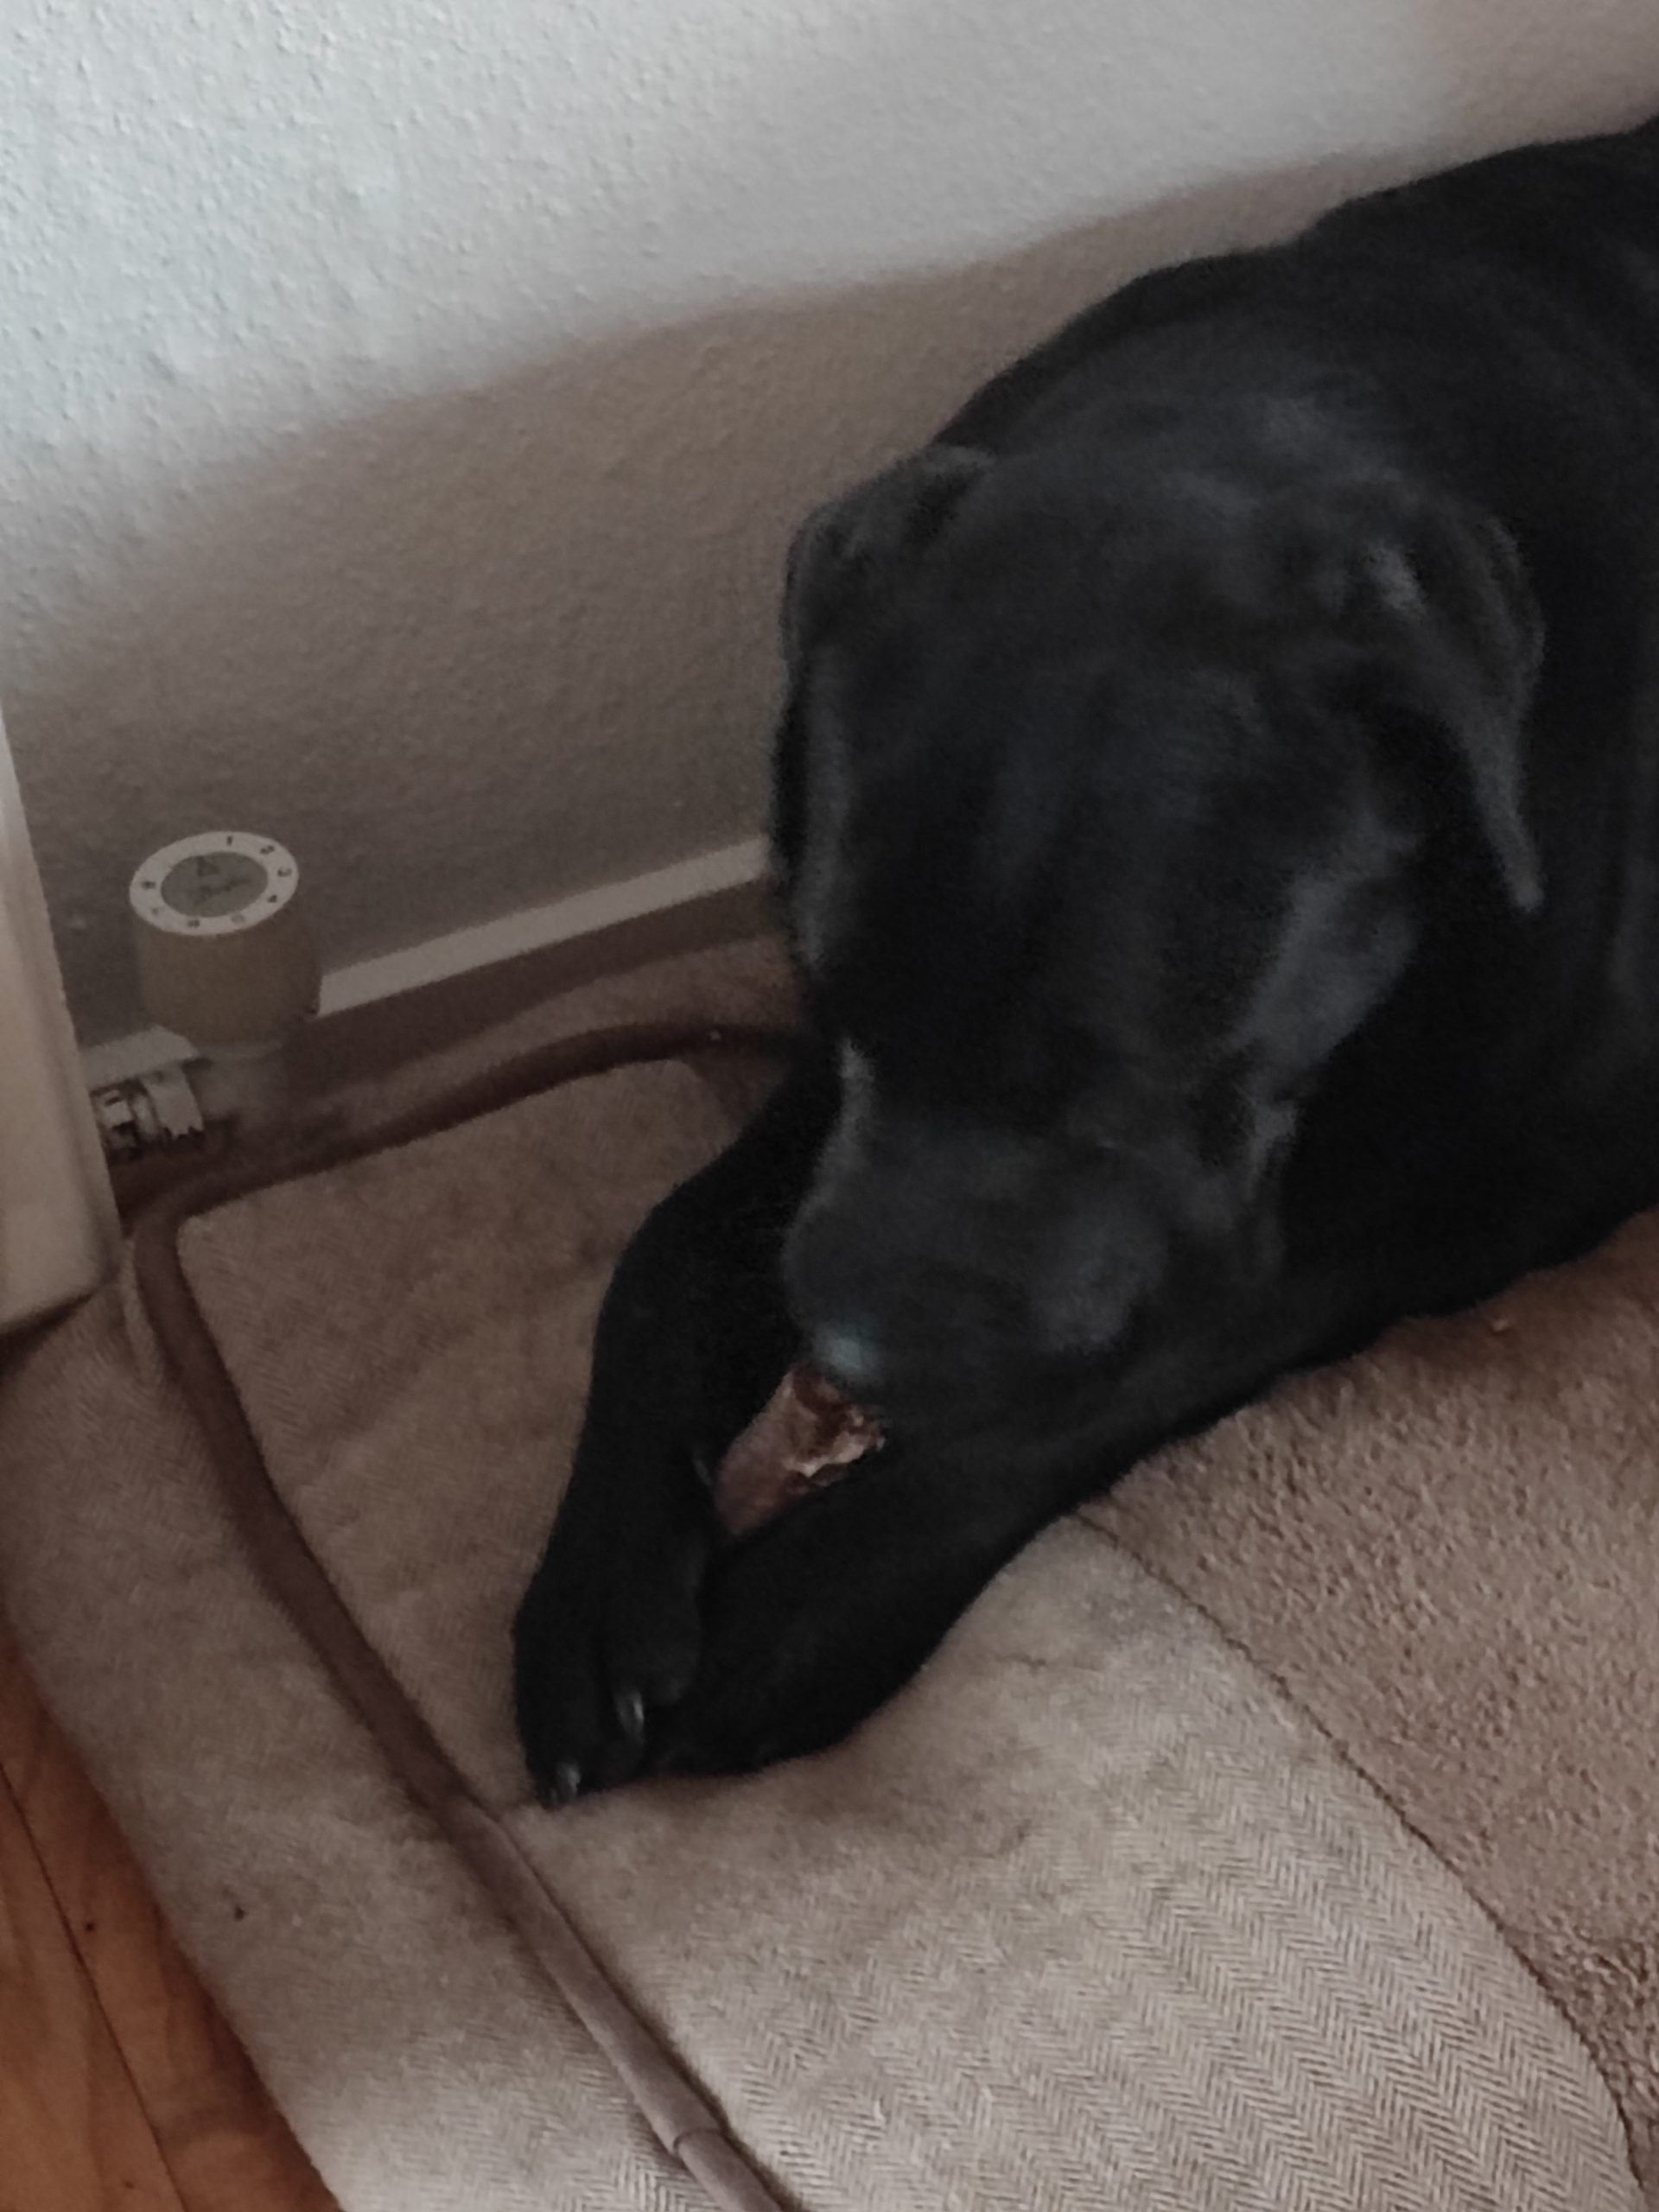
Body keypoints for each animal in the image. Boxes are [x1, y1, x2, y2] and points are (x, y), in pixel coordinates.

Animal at [516, 111, 1659, 1800]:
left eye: (1115, 1093)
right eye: (837, 1011)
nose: (848, 1343)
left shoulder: (1501, 1178)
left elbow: (1140, 1357)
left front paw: (811, 1602)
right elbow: (665, 1250)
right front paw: (597, 1588)